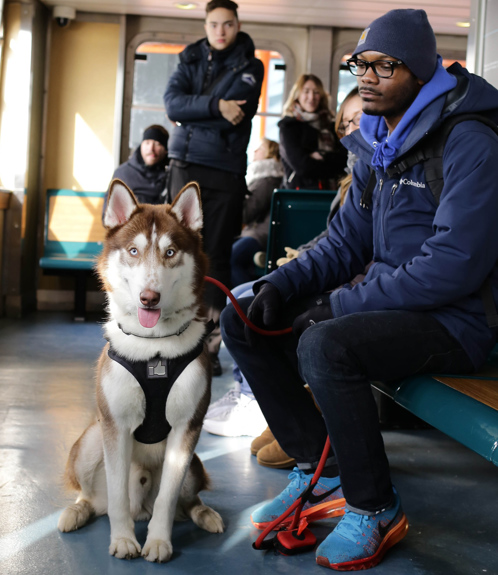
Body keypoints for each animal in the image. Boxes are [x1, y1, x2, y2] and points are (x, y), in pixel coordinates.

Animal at [57, 181, 226, 564]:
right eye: (133, 251)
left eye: (170, 252)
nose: (150, 298)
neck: (154, 349)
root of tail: (141, 510)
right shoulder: (115, 426)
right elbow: (118, 495)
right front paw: (122, 540)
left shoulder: (186, 429)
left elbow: (167, 499)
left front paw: (159, 541)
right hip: (90, 441)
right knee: (95, 499)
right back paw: (75, 512)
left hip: (194, 465)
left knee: (186, 501)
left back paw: (205, 514)